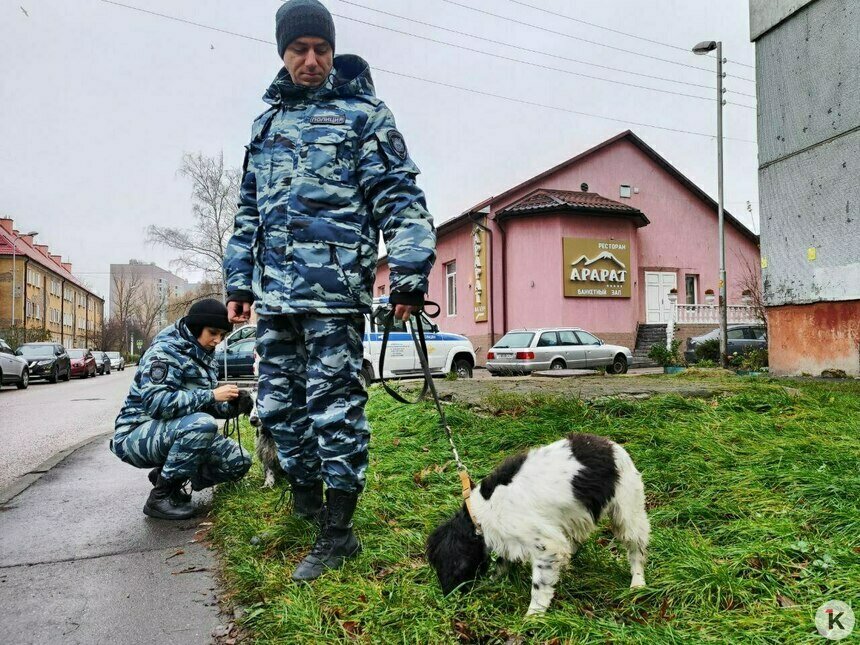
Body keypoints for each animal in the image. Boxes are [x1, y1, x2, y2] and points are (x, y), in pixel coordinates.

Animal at [426, 432, 648, 612]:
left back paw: (637, 584)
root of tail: (611, 445)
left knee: (637, 550)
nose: (448, 597)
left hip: (627, 514)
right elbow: (502, 563)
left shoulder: (546, 545)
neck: (479, 514)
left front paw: (533, 616)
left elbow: (539, 586)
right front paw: (494, 581)